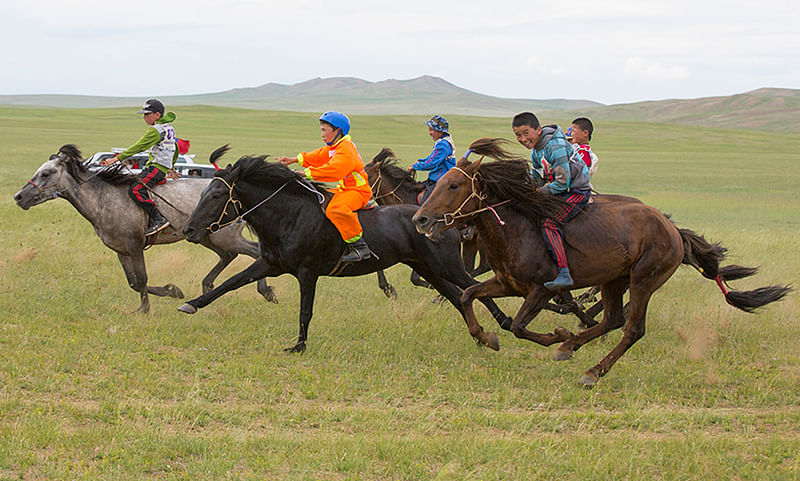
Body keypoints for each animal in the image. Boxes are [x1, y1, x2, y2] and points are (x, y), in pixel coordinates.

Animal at [14, 144, 276, 314]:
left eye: (46, 173)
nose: (19, 197)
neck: (103, 199)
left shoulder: (135, 245)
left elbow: (141, 279)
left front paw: (147, 307)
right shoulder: (120, 250)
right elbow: (133, 282)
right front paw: (172, 292)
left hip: (224, 236)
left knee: (253, 251)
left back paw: (266, 291)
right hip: (206, 237)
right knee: (229, 255)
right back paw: (207, 285)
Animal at [416, 137, 792, 384]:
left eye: (453, 185)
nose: (420, 219)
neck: (516, 229)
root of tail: (672, 229)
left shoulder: (541, 289)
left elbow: (519, 326)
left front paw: (555, 334)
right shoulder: (507, 284)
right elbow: (469, 297)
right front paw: (487, 338)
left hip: (643, 280)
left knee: (632, 328)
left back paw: (591, 370)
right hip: (614, 279)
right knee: (612, 319)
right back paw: (571, 347)